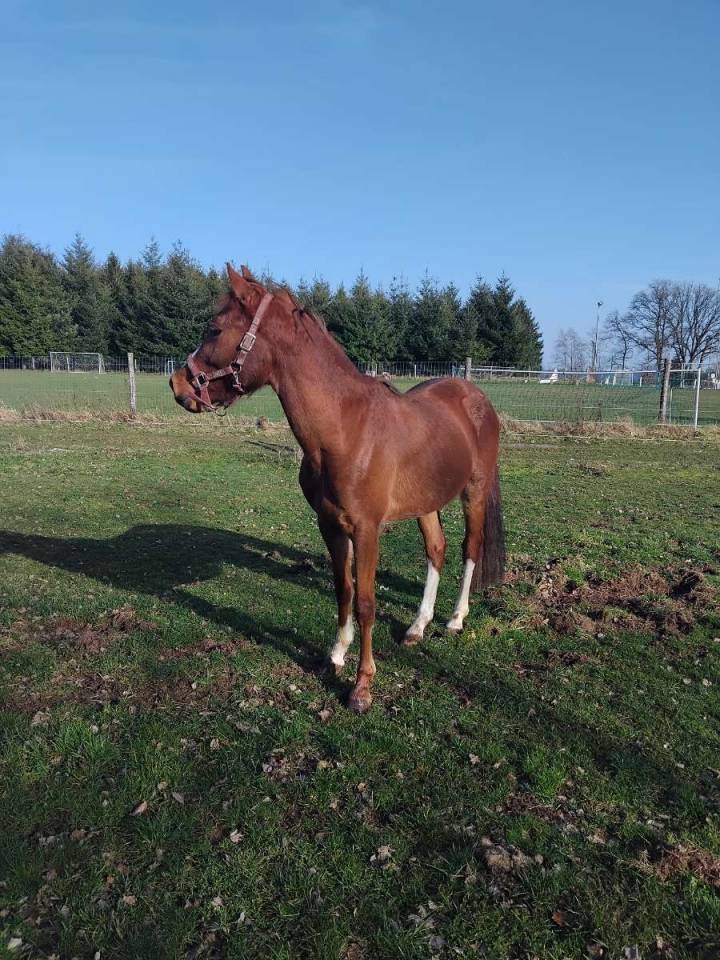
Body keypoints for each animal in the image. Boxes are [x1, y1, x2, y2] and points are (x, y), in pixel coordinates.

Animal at [170, 264, 505, 713]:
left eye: (215, 328)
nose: (177, 385)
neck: (345, 429)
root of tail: (476, 396)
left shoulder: (366, 529)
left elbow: (365, 602)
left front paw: (362, 686)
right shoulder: (329, 524)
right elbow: (343, 591)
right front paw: (335, 655)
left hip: (474, 492)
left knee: (471, 548)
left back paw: (455, 619)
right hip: (426, 502)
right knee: (436, 550)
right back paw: (417, 626)